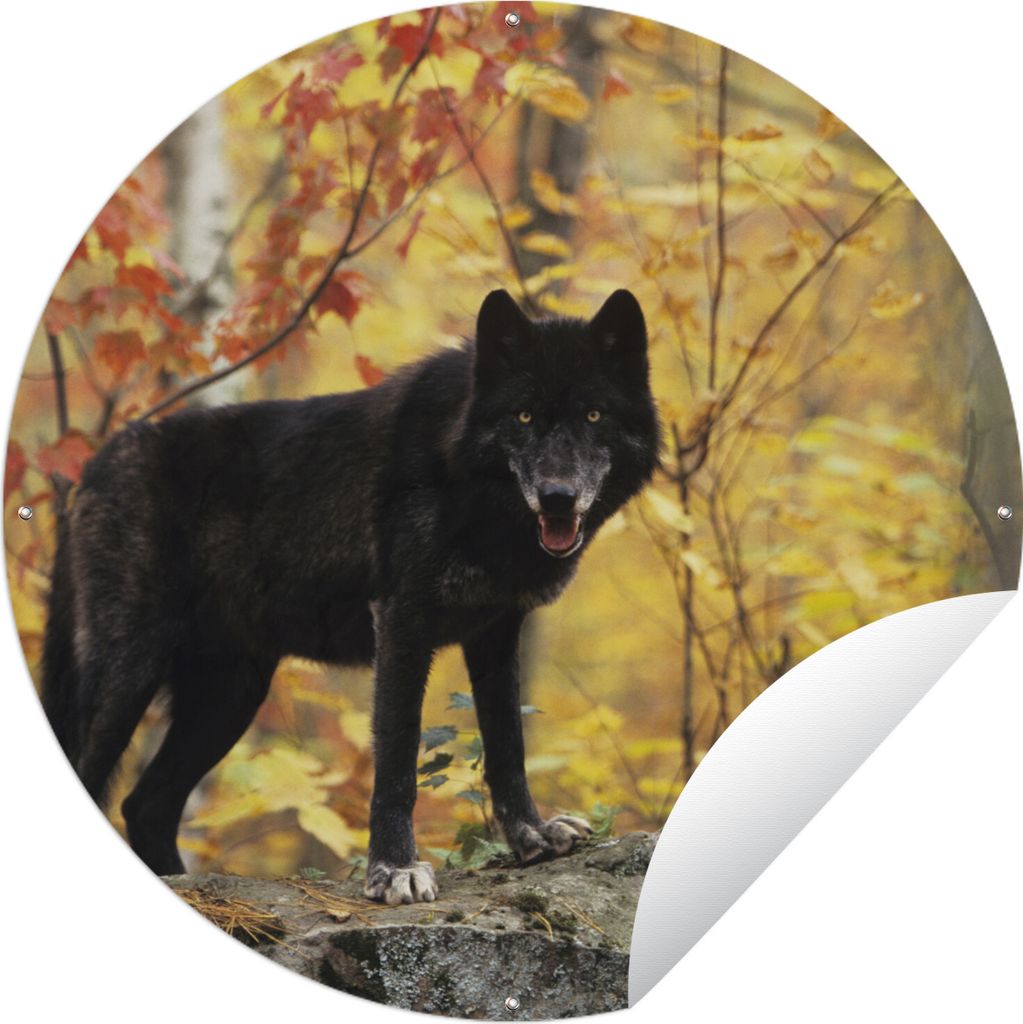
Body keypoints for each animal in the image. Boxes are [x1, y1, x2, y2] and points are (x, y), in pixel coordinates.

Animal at [41, 288, 660, 904]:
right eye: (525, 415)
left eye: (593, 415)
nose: (557, 498)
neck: (469, 488)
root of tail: (92, 467)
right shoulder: (402, 621)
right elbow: (398, 759)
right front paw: (395, 869)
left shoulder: (496, 634)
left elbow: (508, 744)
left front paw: (532, 835)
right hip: (129, 674)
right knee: (97, 778)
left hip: (230, 694)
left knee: (145, 805)